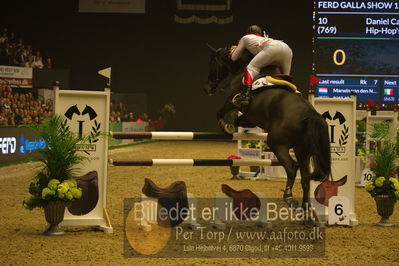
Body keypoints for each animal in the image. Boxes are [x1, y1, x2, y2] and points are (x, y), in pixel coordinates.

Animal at [203, 44, 332, 213]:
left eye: (212, 62)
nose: (207, 89)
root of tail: (309, 113)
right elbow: (242, 120)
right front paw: (235, 124)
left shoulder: (231, 100)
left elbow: (220, 113)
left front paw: (227, 127)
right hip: (302, 150)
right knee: (305, 177)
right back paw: (305, 210)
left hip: (277, 144)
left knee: (292, 168)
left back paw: (289, 197)